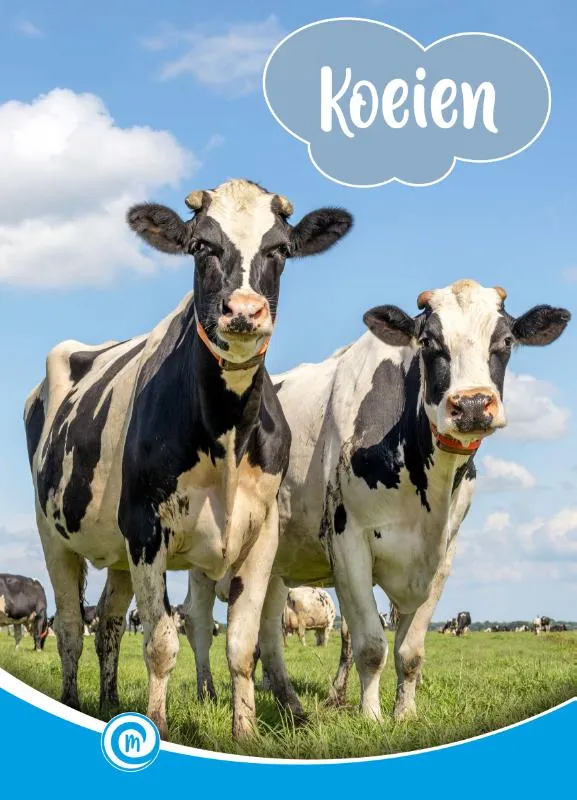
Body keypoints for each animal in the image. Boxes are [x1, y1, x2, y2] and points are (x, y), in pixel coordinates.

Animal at [24, 178, 352, 739]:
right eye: (201, 246)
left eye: (281, 250)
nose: (243, 311)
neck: (226, 434)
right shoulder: (146, 529)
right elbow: (160, 644)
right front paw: (156, 722)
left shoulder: (262, 534)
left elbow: (242, 647)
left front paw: (245, 734)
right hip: (56, 535)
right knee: (69, 626)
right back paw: (72, 700)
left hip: (116, 551)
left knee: (108, 623)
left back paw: (110, 702)